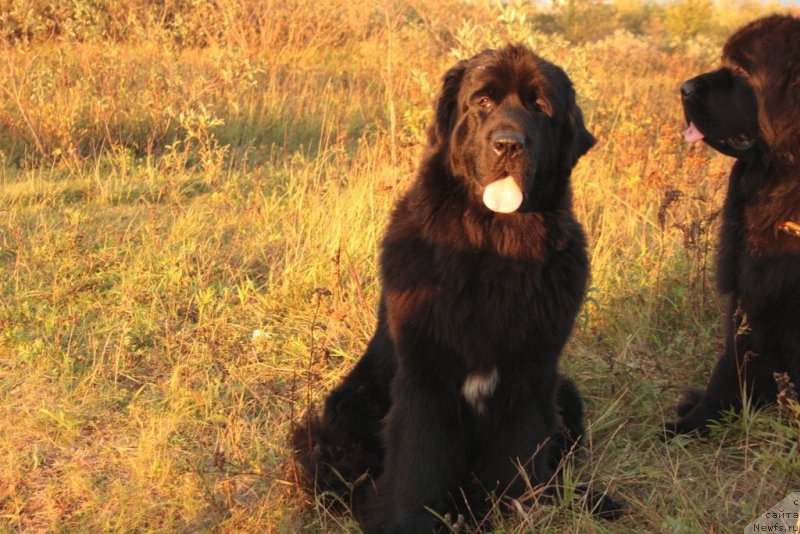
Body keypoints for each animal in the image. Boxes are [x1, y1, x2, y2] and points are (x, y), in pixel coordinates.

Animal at [292, 46, 620, 532]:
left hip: (566, 393)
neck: (493, 245)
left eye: (539, 107)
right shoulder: (426, 379)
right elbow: (419, 463)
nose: (508, 144)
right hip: (350, 403)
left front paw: (513, 511)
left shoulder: (531, 377)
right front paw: (409, 521)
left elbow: (518, 462)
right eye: (482, 101)